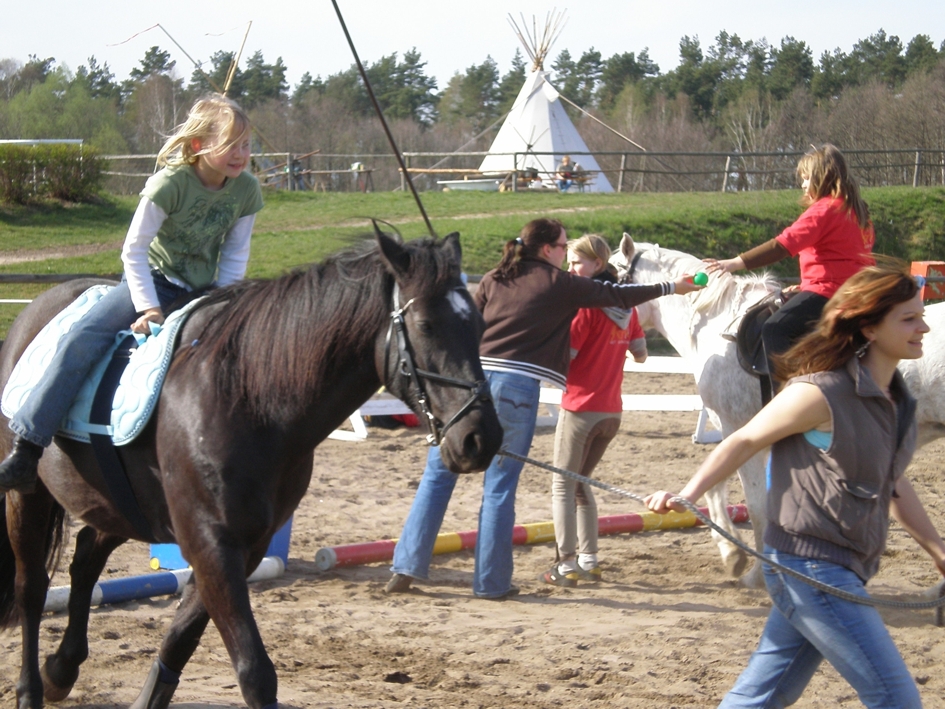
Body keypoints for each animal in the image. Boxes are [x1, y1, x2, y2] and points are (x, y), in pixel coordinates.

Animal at [0, 230, 502, 704]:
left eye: (478, 323)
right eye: (426, 324)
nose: (482, 438)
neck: (249, 394)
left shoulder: (246, 546)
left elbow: (179, 640)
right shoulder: (210, 543)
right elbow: (255, 672)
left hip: (121, 504)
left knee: (86, 556)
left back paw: (61, 670)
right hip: (29, 498)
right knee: (31, 588)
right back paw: (30, 689)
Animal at [616, 232, 944, 588]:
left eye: (611, 273)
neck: (716, 323)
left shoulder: (736, 425)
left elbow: (757, 504)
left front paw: (758, 573)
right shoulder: (743, 431)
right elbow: (715, 484)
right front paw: (733, 555)